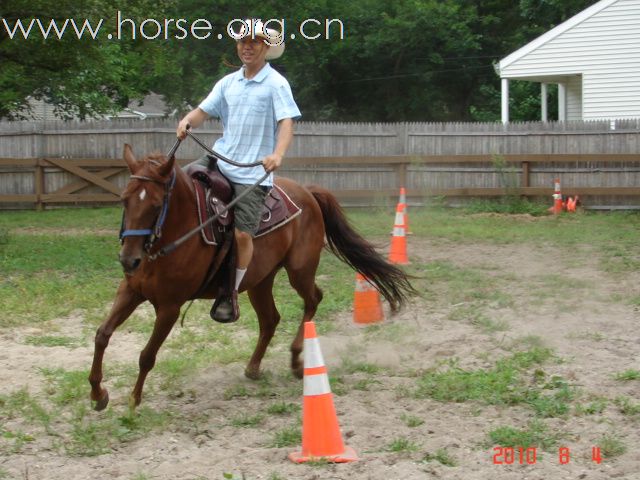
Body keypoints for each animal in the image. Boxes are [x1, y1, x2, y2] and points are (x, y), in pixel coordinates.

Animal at [87, 144, 412, 410]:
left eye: (156, 205)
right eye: (124, 200)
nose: (129, 259)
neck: (176, 232)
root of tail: (308, 192)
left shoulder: (169, 307)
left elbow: (147, 354)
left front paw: (133, 400)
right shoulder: (131, 291)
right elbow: (102, 335)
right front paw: (97, 394)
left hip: (300, 271)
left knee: (313, 299)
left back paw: (296, 359)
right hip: (259, 281)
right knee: (270, 319)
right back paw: (253, 367)